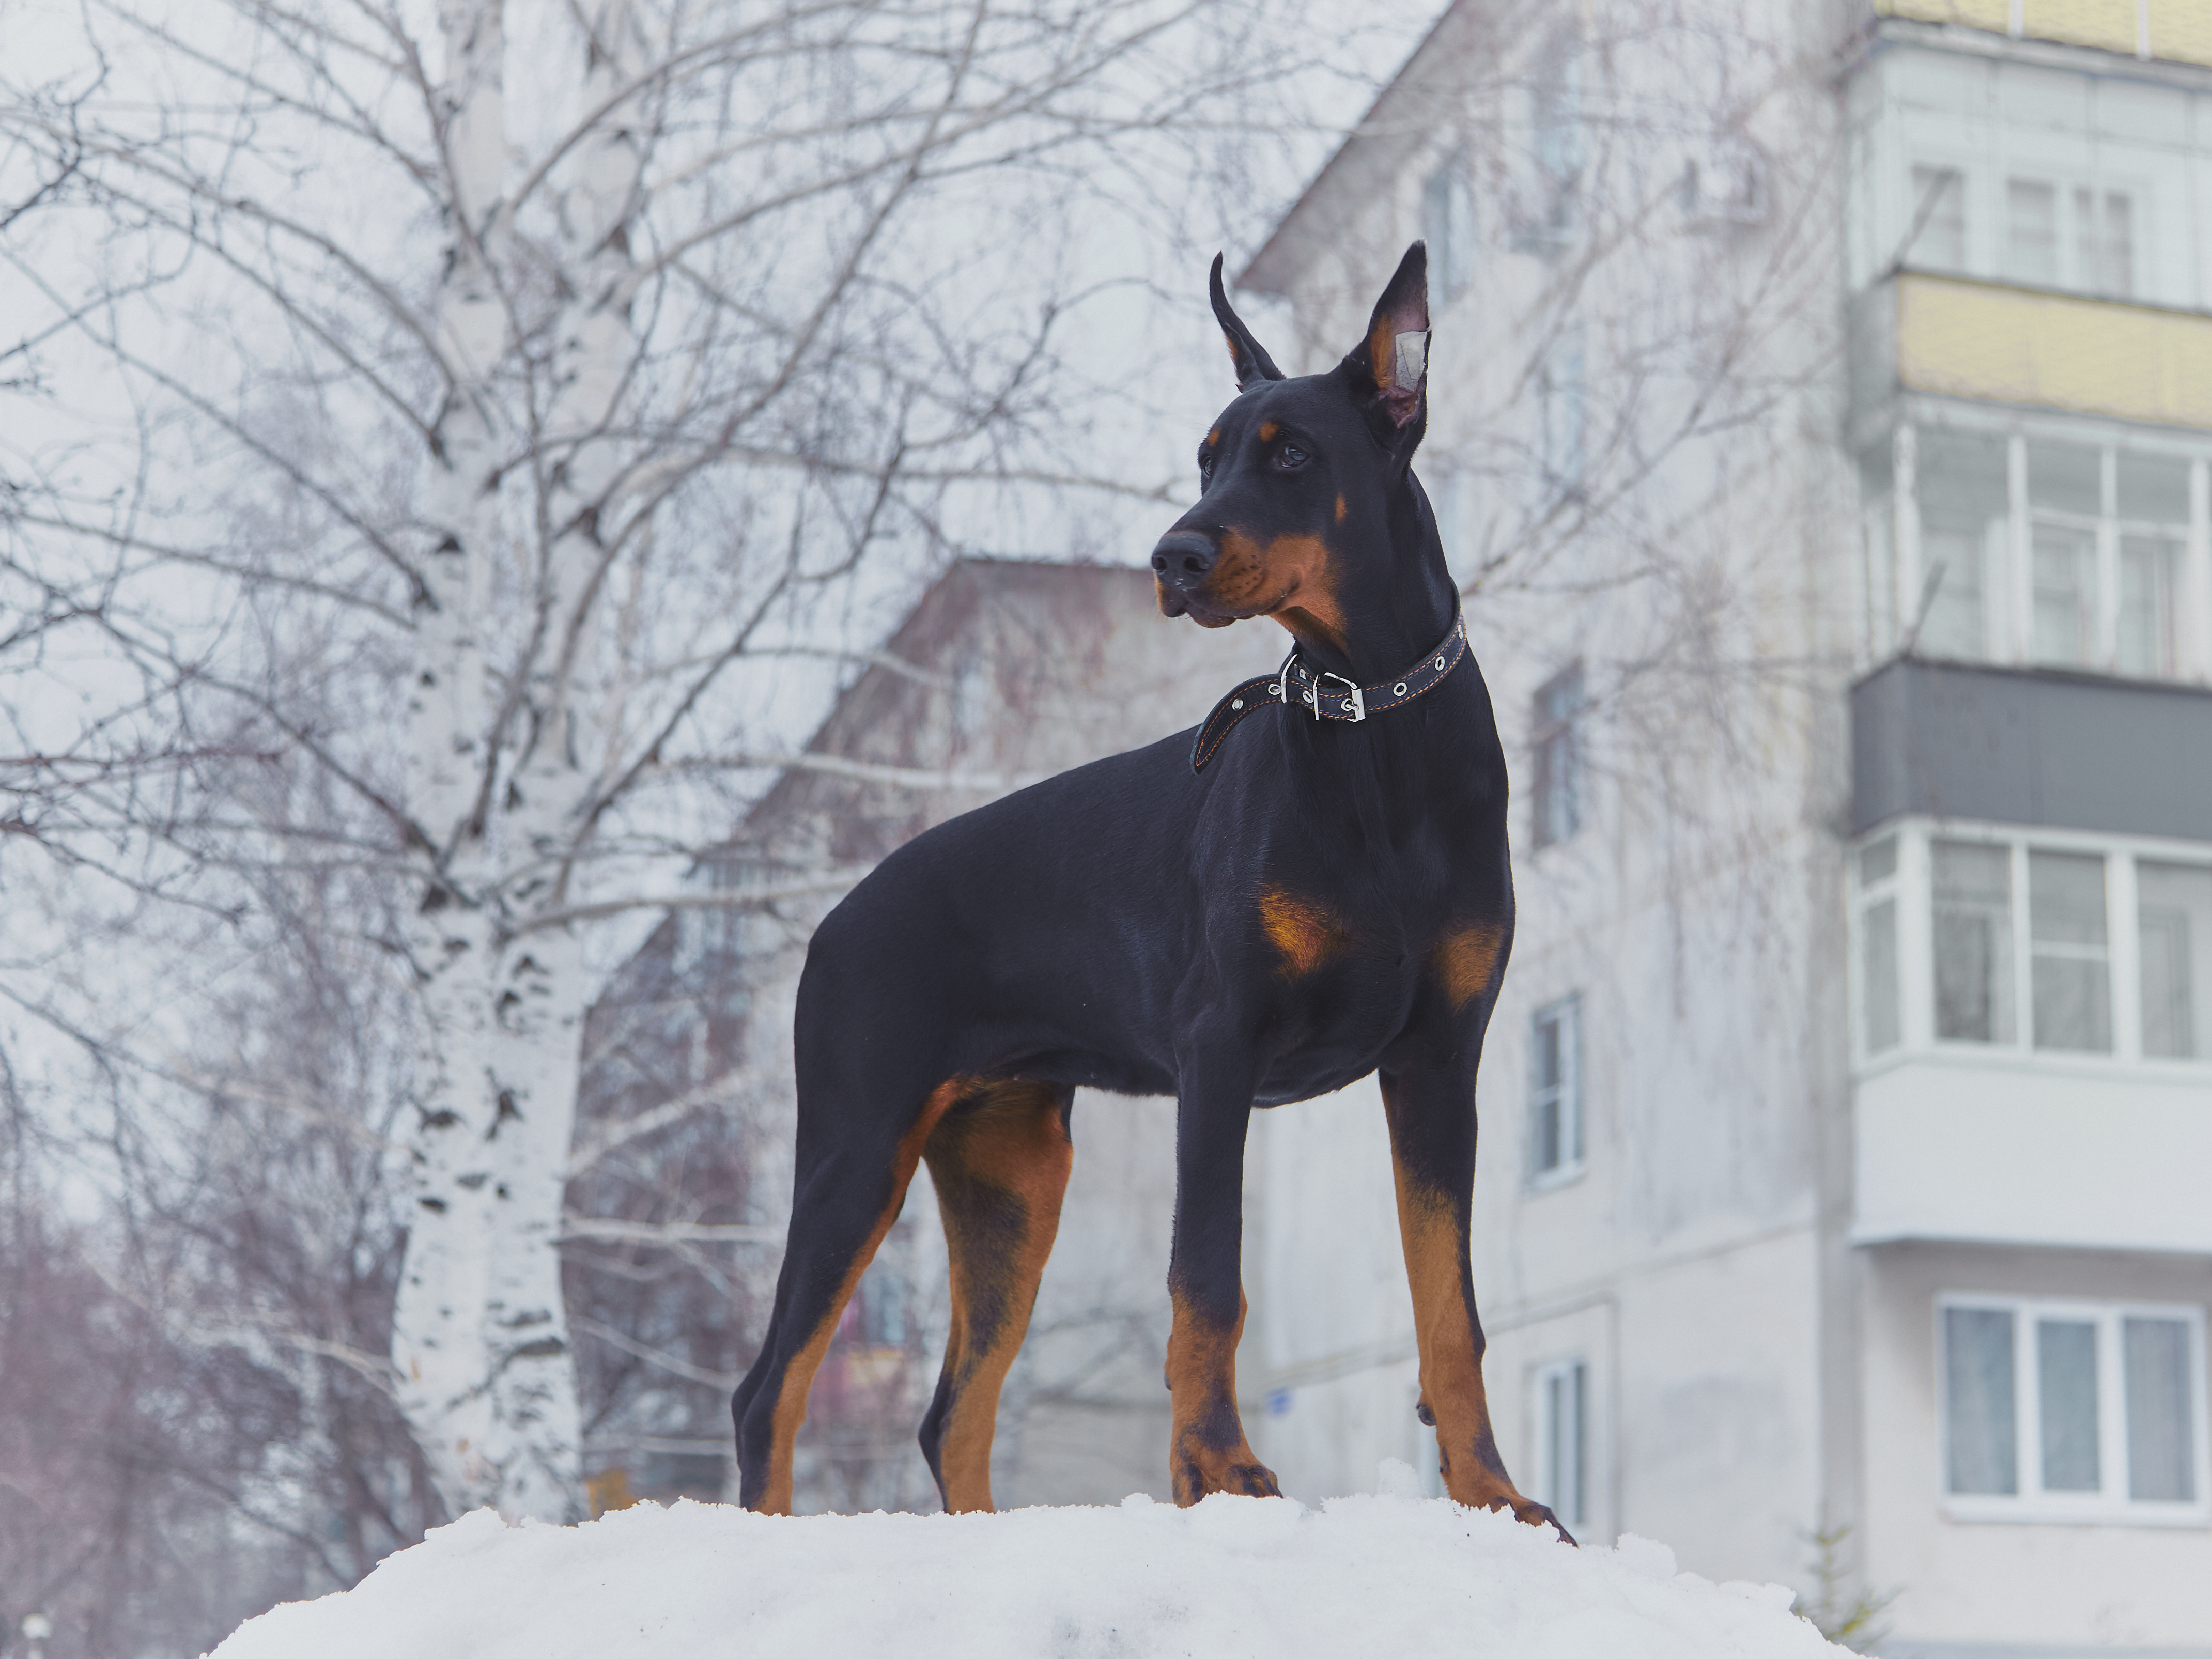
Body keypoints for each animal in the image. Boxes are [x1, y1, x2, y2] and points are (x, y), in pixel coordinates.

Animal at [738, 243, 1575, 1548]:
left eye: (1291, 454)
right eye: (1204, 455)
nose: (1169, 558)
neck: (1370, 725)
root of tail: (831, 919)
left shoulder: (1442, 1058)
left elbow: (1452, 1304)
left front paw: (1493, 1494)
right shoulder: (1218, 1044)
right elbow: (1208, 1277)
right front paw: (1216, 1470)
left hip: (1011, 1174)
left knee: (948, 1408)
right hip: (856, 1142)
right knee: (769, 1386)